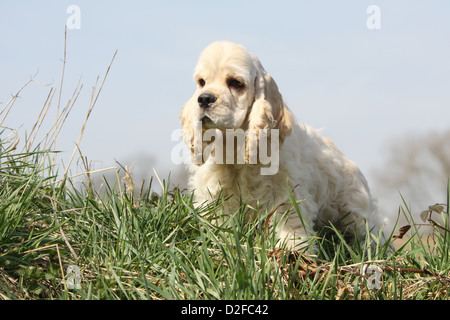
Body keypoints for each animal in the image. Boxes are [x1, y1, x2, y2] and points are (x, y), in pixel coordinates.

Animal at [179, 40, 384, 250]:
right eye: (201, 82)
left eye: (236, 83)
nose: (204, 99)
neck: (236, 149)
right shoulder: (215, 195)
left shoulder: (285, 194)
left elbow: (290, 228)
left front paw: (293, 251)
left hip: (355, 209)